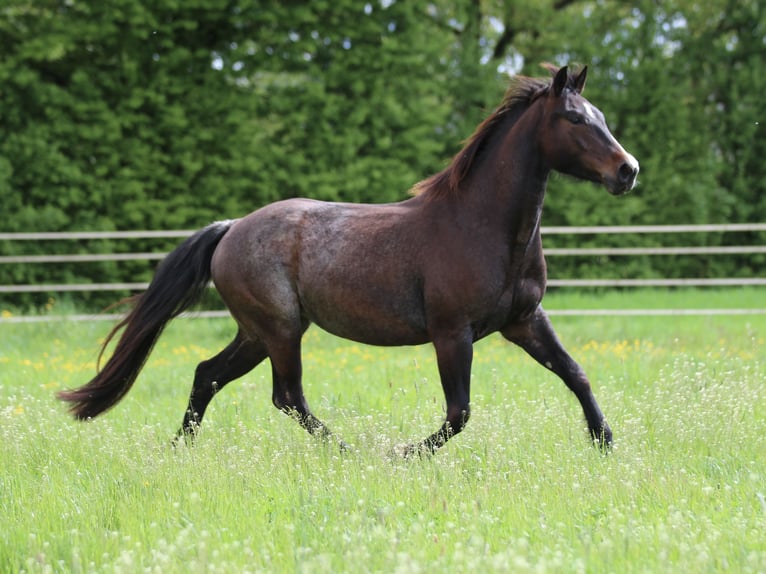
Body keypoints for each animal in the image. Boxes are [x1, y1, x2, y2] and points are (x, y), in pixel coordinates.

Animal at [58, 65, 638, 456]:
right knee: (286, 395)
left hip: (258, 332)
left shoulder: (524, 321)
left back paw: (181, 449)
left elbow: (576, 374)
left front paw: (605, 444)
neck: (482, 226)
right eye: (572, 118)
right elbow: (459, 412)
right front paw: (403, 454)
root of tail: (231, 229)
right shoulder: (452, 332)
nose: (627, 170)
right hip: (280, 329)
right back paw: (347, 451)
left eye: (603, 117)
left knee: (209, 375)